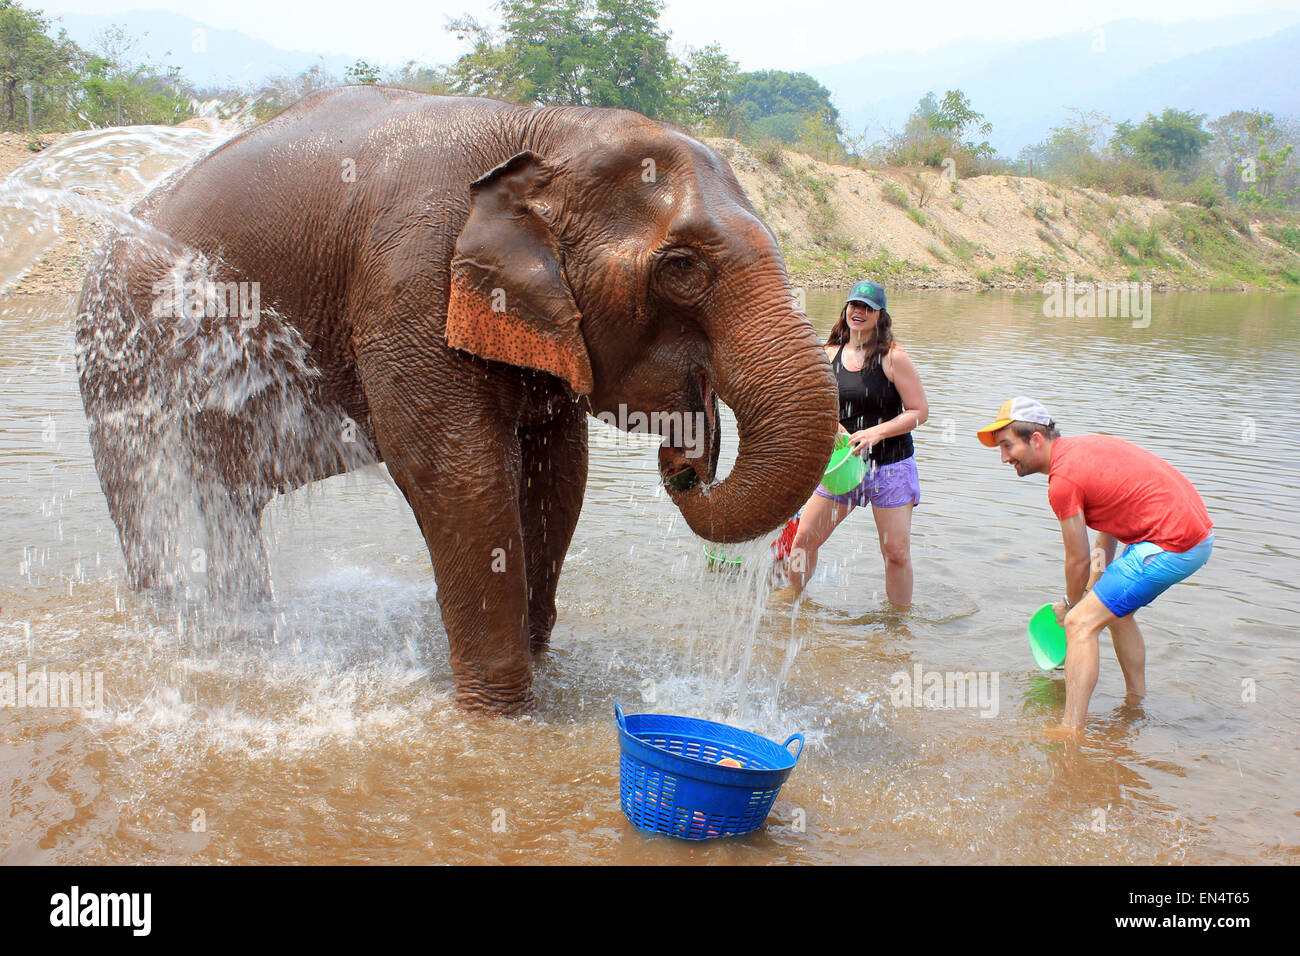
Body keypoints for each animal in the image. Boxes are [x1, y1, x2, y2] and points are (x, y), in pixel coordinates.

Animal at [73, 85, 842, 712]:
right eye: (681, 268)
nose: (685, 462)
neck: (543, 129)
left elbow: (557, 475)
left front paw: (537, 669)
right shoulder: (410, 281)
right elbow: (458, 474)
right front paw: (500, 713)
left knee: (228, 499)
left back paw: (247, 626)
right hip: (115, 355)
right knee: (139, 492)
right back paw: (170, 621)